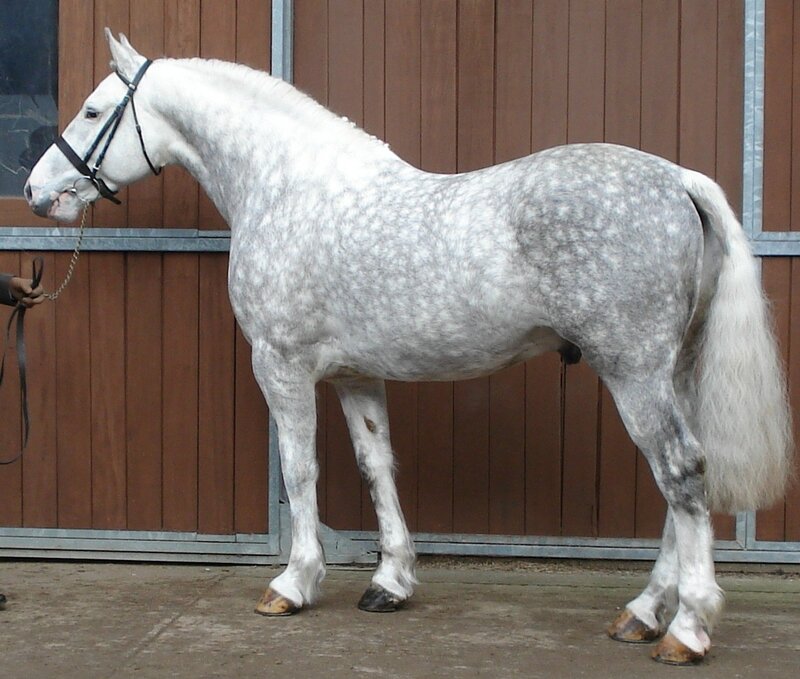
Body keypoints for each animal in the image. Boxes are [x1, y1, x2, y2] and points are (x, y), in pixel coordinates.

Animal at [25, 31, 792, 665]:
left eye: (93, 112)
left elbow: (300, 469)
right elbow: (377, 468)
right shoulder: (355, 376)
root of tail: (678, 180)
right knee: (681, 484)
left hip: (633, 370)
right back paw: (642, 612)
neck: (289, 187)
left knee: (681, 473)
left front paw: (293, 582)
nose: (36, 191)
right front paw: (390, 583)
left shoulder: (281, 365)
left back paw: (686, 628)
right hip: (672, 370)